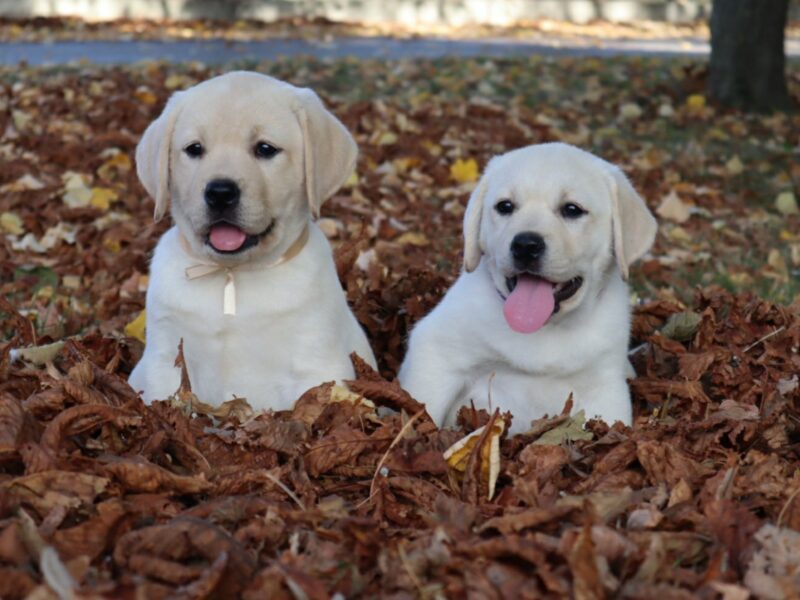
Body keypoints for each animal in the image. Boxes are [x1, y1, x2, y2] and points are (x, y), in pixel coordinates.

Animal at [130, 70, 376, 410]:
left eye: (265, 149)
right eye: (194, 149)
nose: (220, 193)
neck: (232, 275)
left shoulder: (318, 365)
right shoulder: (165, 360)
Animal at [400, 142, 656, 432]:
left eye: (572, 209)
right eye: (505, 206)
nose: (525, 245)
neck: (543, 329)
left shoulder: (604, 389)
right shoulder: (436, 353)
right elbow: (423, 403)